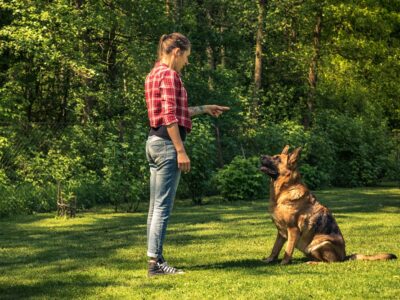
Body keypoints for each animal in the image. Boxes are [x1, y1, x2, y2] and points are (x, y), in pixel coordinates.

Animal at [260, 146, 396, 264]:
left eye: (277, 158)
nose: (261, 156)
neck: (283, 192)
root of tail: (344, 257)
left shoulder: (292, 230)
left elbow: (288, 250)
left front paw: (284, 263)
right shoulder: (281, 233)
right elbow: (275, 248)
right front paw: (269, 260)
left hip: (318, 244)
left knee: (329, 262)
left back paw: (313, 263)